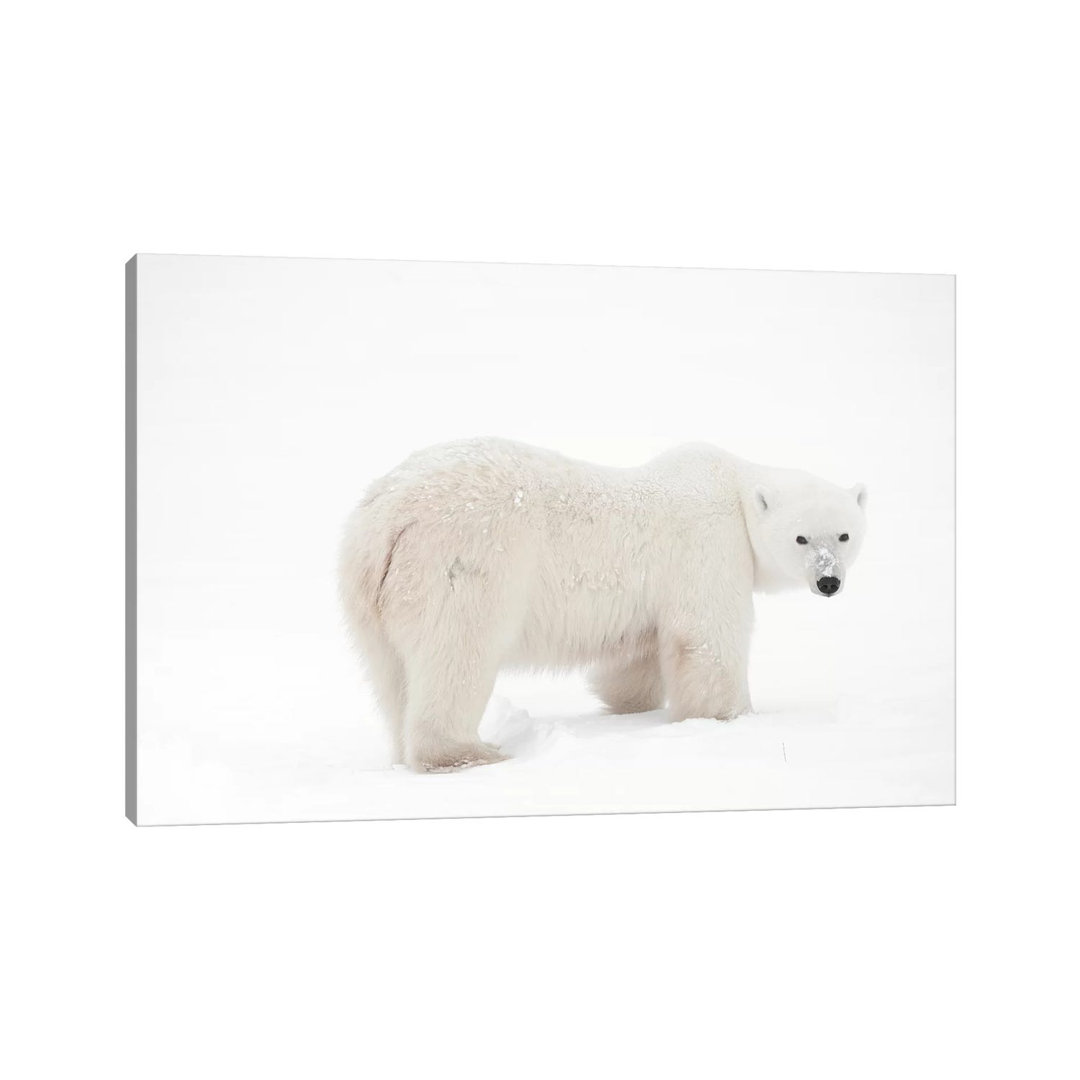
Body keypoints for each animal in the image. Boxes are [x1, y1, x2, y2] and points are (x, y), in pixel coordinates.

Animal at [339, 438, 867, 773]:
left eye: (844, 534)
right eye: (801, 538)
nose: (829, 581)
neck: (732, 487)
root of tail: (390, 512)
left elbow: (639, 654)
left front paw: (627, 705)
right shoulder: (708, 545)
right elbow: (707, 639)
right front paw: (729, 718)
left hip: (371, 591)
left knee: (392, 676)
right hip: (464, 560)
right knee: (458, 653)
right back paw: (471, 752)